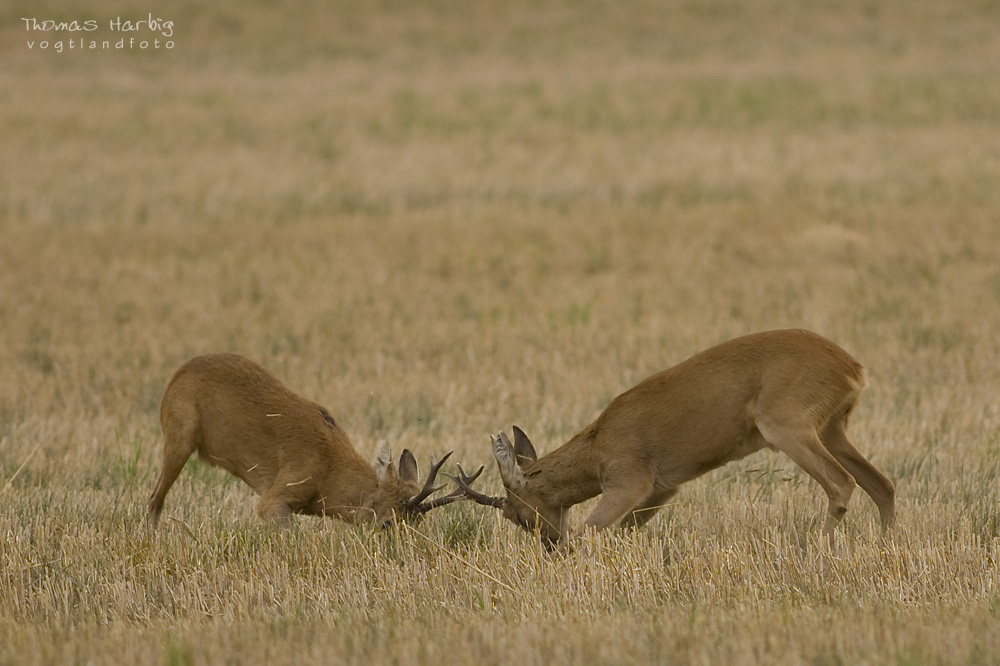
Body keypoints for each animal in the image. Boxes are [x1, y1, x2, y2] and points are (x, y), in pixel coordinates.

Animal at [146, 352, 466, 528]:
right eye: (387, 524)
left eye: (420, 524)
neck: (328, 470)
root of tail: (175, 376)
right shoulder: (277, 494)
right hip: (178, 436)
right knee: (154, 499)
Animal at [454, 326, 900, 544]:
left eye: (515, 512)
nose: (546, 543)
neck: (599, 441)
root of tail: (852, 367)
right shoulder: (663, 488)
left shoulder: (628, 483)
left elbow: (586, 534)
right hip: (834, 429)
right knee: (882, 484)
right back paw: (885, 548)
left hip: (790, 430)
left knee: (842, 484)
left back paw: (815, 549)